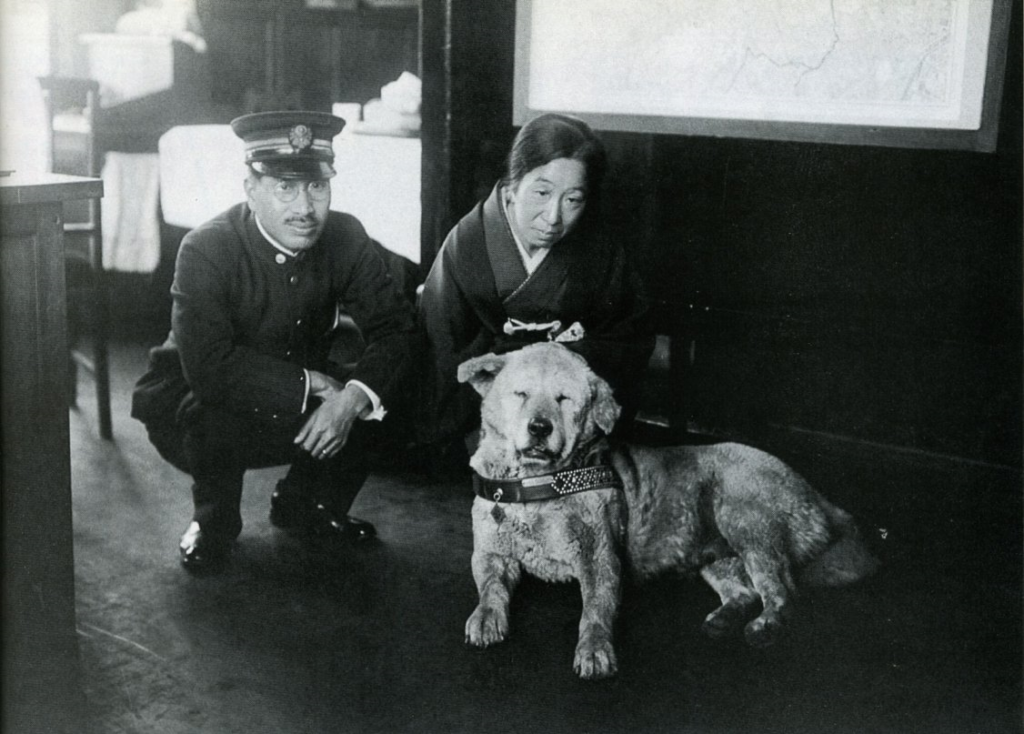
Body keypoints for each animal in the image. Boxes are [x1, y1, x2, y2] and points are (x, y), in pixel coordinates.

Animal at [458, 339, 880, 679]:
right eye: (520, 393)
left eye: (565, 399)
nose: (539, 427)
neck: (538, 485)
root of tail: (817, 495)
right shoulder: (491, 554)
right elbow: (490, 587)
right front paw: (486, 616)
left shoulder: (601, 560)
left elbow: (595, 610)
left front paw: (594, 649)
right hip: (717, 556)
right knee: (744, 591)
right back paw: (724, 619)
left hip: (745, 517)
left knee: (783, 590)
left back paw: (767, 625)